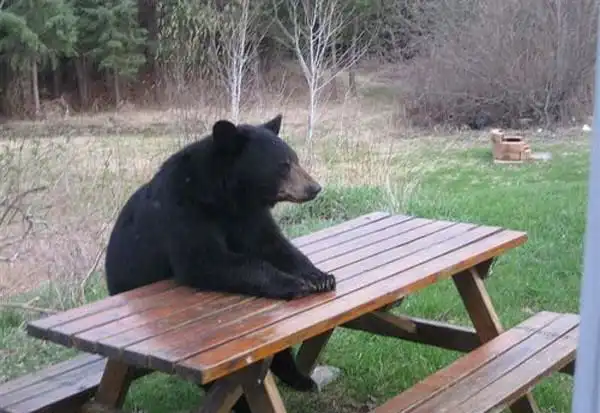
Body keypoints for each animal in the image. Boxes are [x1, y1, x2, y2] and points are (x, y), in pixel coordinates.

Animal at [104, 114, 336, 413]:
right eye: (283, 165)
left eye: (294, 159)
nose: (314, 187)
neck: (227, 196)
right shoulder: (184, 210)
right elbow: (207, 260)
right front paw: (295, 284)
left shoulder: (249, 216)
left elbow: (274, 245)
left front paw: (320, 276)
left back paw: (300, 379)